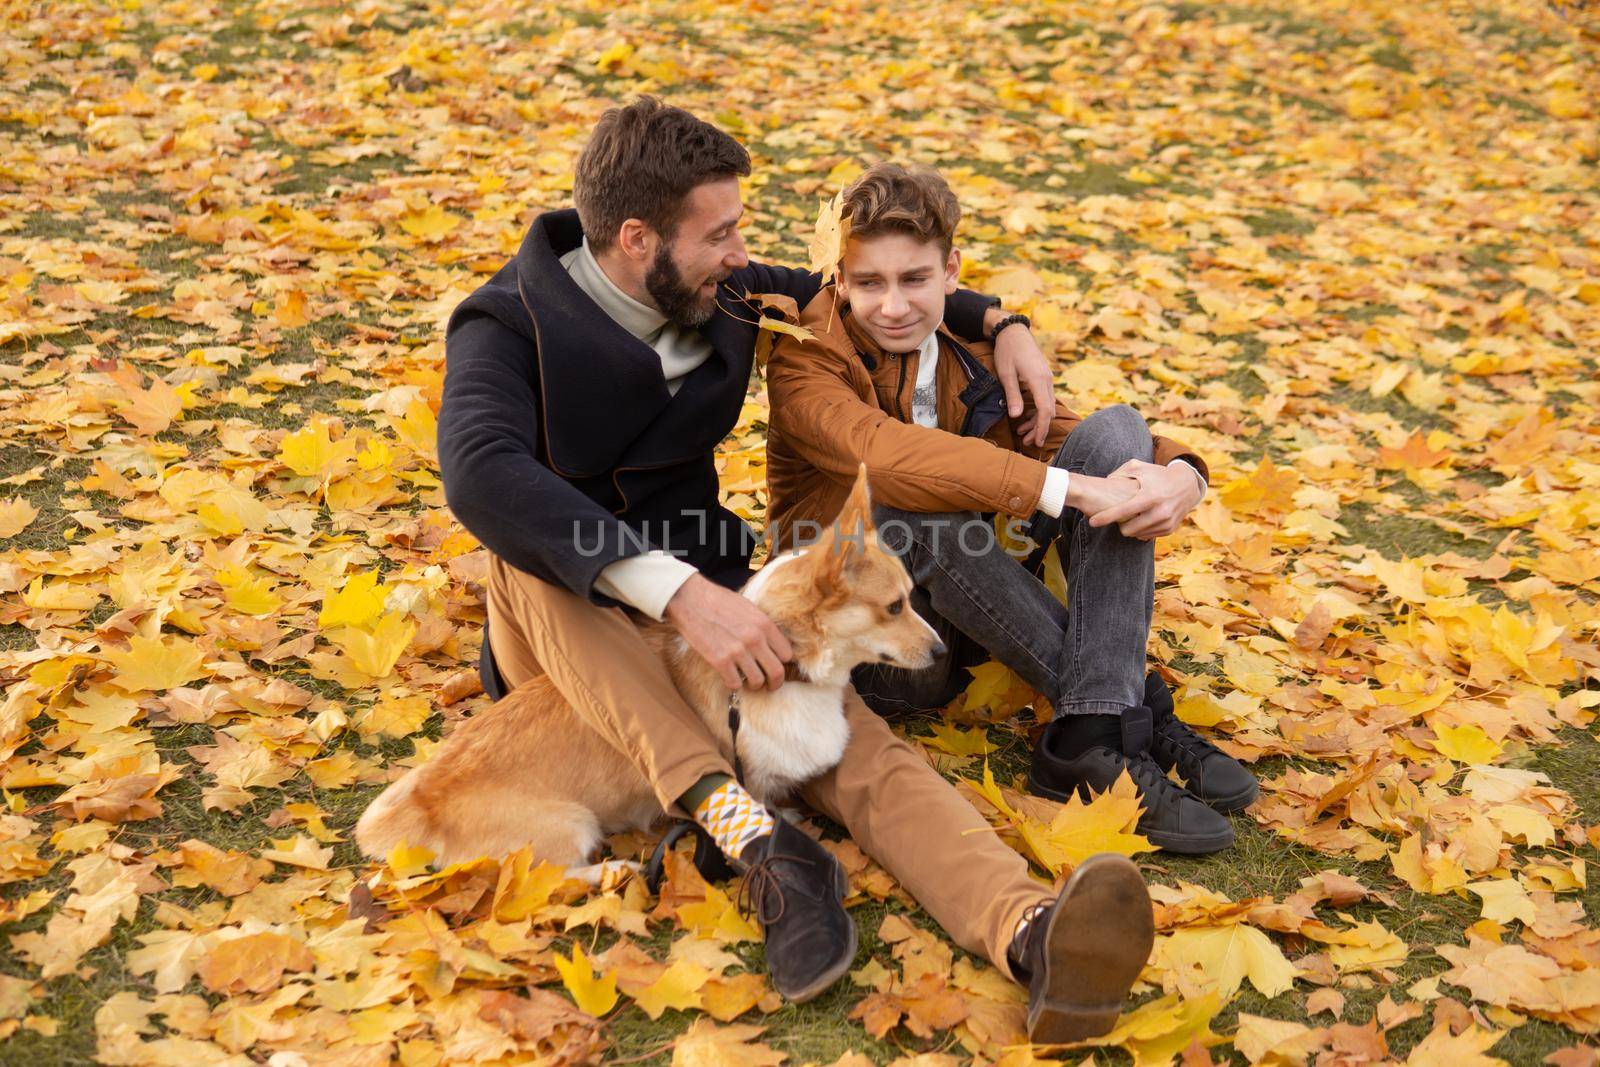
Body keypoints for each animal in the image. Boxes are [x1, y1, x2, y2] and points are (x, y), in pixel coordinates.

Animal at [356, 470, 940, 876]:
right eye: (894, 607)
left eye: (910, 598)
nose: (938, 651)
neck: (794, 668)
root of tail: (422, 803)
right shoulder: (754, 773)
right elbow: (765, 798)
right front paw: (781, 827)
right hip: (573, 825)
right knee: (548, 878)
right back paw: (612, 872)